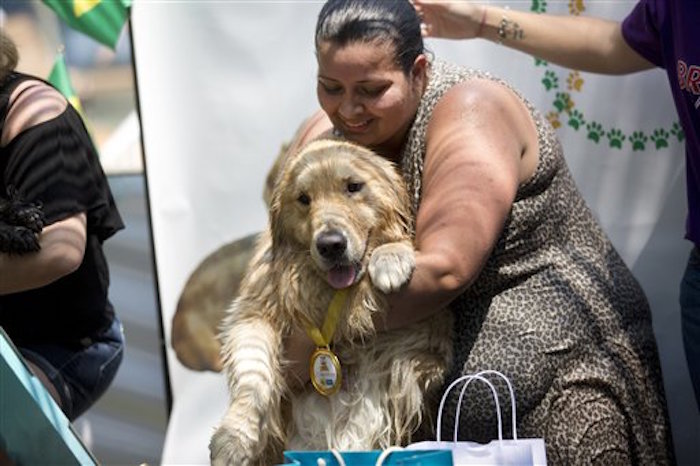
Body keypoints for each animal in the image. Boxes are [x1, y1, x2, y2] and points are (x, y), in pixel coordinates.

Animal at [208, 139, 454, 466]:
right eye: (303, 199)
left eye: (353, 186)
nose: (331, 245)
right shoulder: (254, 312)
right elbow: (253, 374)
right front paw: (234, 438)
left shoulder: (429, 329)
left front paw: (391, 255)